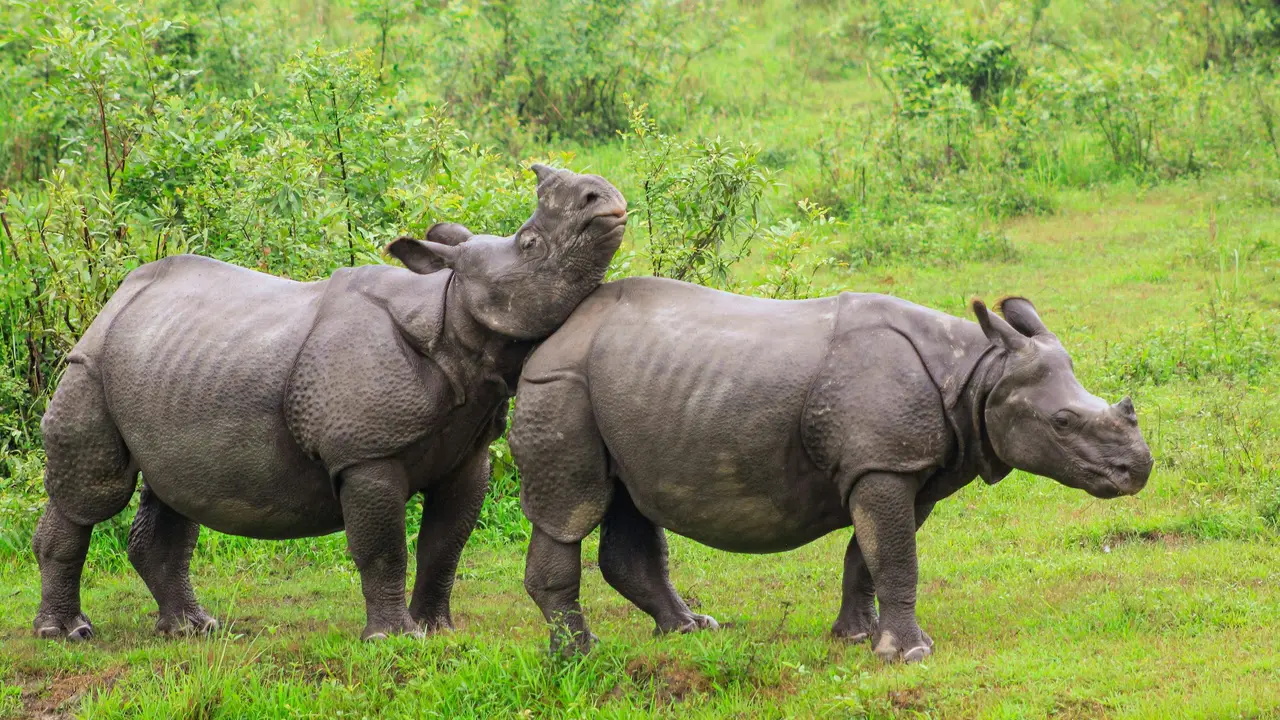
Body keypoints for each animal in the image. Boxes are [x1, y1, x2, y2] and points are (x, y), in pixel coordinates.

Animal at [32, 165, 627, 641]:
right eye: (529, 243)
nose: (603, 198)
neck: (451, 315)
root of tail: (116, 297)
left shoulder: (468, 452)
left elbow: (445, 543)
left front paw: (438, 631)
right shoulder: (365, 453)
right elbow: (384, 547)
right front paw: (394, 639)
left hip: (170, 362)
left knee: (174, 489)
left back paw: (193, 630)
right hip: (90, 362)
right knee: (93, 493)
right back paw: (67, 634)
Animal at [510, 279, 1153, 662]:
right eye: (1063, 422)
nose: (1138, 469)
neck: (977, 372)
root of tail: (556, 333)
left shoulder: (899, 466)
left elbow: (868, 555)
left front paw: (858, 638)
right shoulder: (883, 462)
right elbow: (895, 555)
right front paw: (909, 655)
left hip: (625, 388)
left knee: (629, 502)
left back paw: (692, 630)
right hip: (560, 383)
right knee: (571, 508)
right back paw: (580, 654)